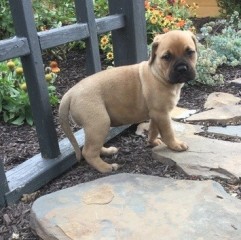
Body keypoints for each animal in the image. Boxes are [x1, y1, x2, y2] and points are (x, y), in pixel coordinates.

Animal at [58, 30, 198, 172]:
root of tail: (70, 93)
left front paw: (152, 142)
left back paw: (107, 151)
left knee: (93, 146)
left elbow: (153, 130)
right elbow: (168, 132)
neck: (158, 74)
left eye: (190, 52)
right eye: (167, 57)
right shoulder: (162, 114)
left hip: (95, 127)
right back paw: (106, 167)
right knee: (88, 152)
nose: (181, 69)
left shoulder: (156, 114)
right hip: (99, 123)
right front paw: (175, 145)